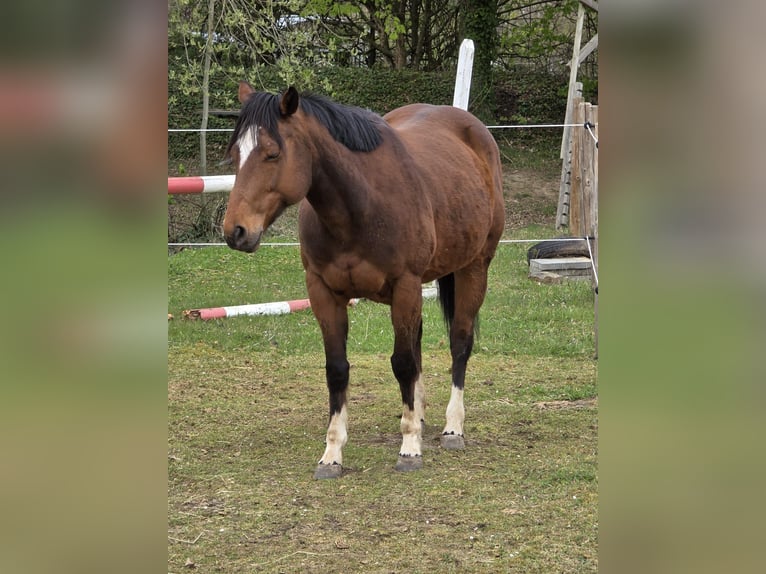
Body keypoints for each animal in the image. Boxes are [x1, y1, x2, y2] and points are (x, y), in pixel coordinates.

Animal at [223, 83, 505, 479]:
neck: (359, 206)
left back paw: (452, 427)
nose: (235, 231)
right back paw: (419, 414)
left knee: (459, 343)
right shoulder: (323, 292)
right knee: (418, 347)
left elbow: (403, 363)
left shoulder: (405, 286)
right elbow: (338, 369)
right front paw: (332, 454)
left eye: (272, 153)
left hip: (474, 267)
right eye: (236, 152)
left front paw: (409, 448)